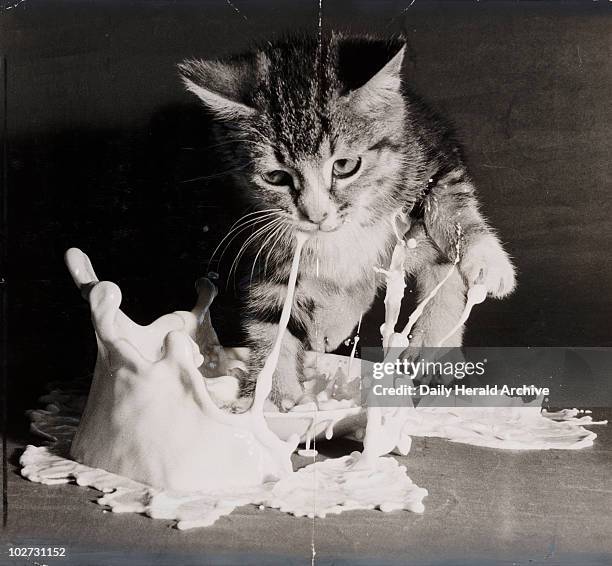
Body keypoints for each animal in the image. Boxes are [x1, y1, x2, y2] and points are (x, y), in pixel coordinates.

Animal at [179, 33, 512, 410]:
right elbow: (273, 317)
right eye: (276, 177)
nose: (316, 215)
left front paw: (487, 260)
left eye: (344, 166)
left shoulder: (432, 160)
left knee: (440, 269)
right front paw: (268, 400)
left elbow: (451, 203)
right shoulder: (272, 243)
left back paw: (432, 350)